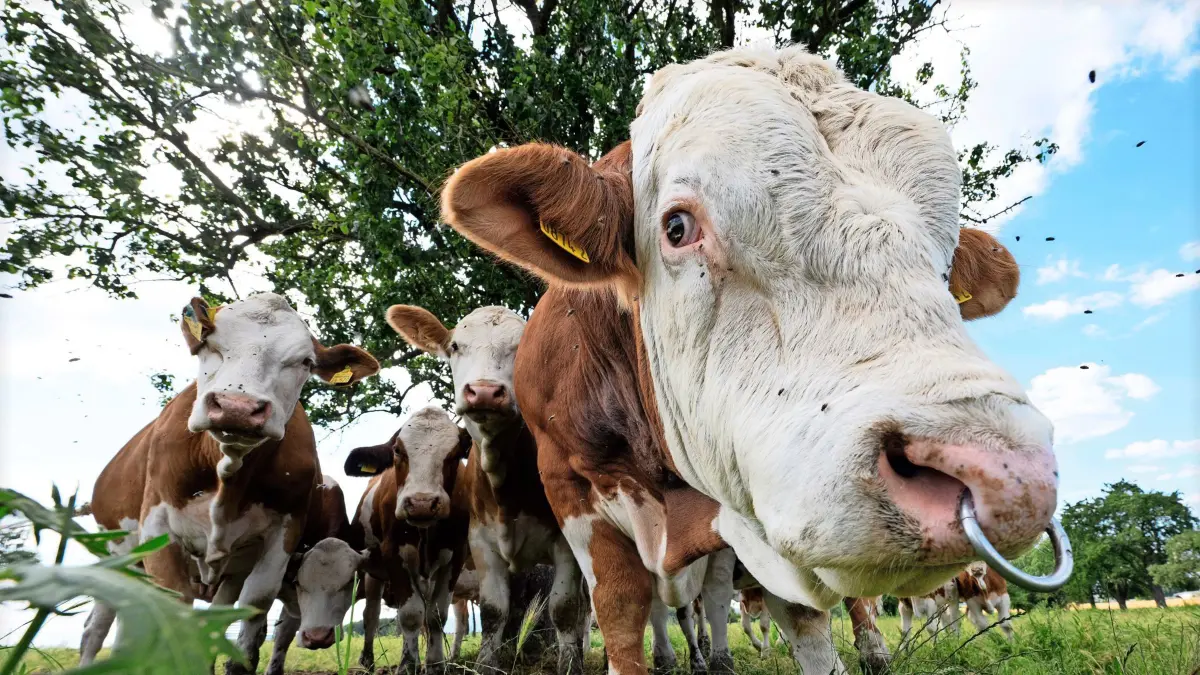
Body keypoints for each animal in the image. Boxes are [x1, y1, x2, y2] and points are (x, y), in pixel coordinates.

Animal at [86, 293, 379, 674]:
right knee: (96, 628)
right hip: (118, 556)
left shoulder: (279, 540)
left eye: (304, 361)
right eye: (209, 345)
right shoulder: (158, 530)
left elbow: (249, 619)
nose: (237, 407)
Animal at [344, 406, 473, 674]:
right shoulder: (393, 554)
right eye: (397, 450)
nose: (422, 503)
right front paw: (408, 664)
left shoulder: (455, 556)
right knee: (371, 614)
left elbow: (435, 615)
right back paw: (367, 660)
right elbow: (411, 615)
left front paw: (434, 663)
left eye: (455, 454)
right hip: (374, 571)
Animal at [385, 304, 591, 675]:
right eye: (454, 346)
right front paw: (486, 664)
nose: (483, 391)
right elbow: (495, 611)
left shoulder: (566, 542)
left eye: (523, 348)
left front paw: (570, 664)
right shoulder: (481, 542)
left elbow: (564, 608)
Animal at [437, 43, 1057, 675]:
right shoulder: (571, 493)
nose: (1004, 475)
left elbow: (798, 619)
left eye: (947, 262)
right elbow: (617, 613)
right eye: (677, 226)